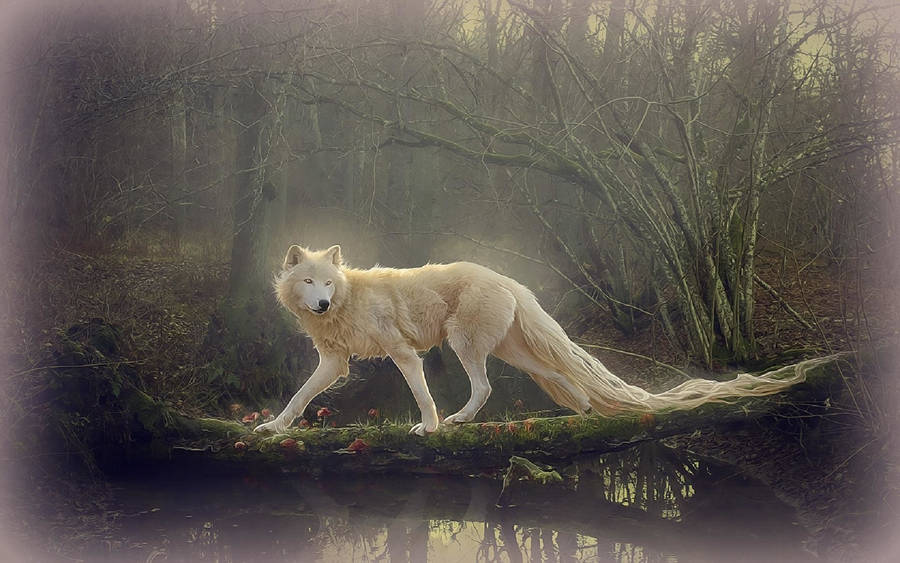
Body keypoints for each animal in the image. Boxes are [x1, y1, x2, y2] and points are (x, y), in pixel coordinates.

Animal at [255, 244, 815, 436]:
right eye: (309, 281)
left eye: (328, 282)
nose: (321, 304)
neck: (348, 301)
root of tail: (507, 278)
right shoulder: (334, 364)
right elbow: (300, 397)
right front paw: (274, 428)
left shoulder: (403, 352)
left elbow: (422, 394)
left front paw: (430, 427)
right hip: (514, 354)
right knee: (560, 376)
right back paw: (584, 412)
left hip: (465, 346)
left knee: (484, 389)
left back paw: (459, 421)